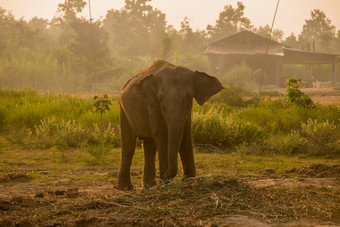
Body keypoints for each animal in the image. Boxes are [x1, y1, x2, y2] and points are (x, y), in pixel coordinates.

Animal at [116, 60, 223, 190]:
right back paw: (125, 187)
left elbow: (186, 136)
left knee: (149, 145)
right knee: (129, 144)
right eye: (160, 99)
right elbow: (162, 136)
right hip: (123, 110)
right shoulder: (154, 106)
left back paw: (150, 186)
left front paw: (190, 181)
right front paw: (166, 183)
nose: (167, 174)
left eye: (189, 97)